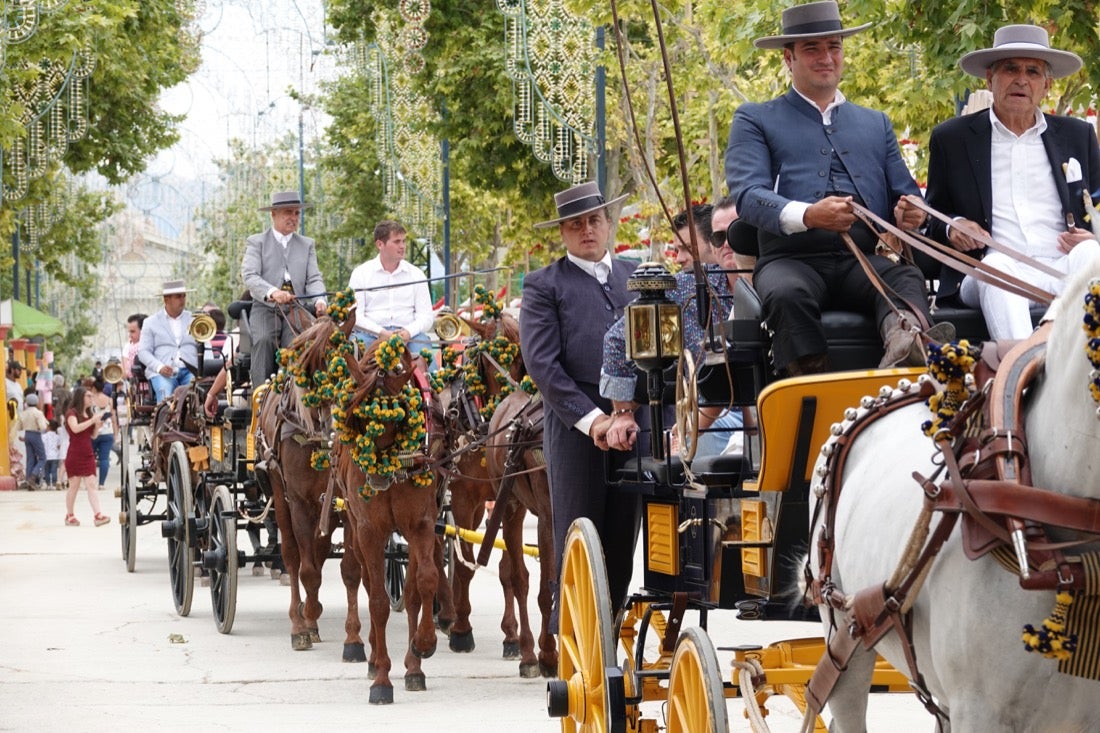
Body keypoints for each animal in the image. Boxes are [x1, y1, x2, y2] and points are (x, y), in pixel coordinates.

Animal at [251, 314, 365, 655]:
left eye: (348, 366)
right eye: (310, 369)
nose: (332, 426)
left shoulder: (345, 503)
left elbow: (350, 570)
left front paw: (353, 639)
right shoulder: (299, 500)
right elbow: (308, 571)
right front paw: (306, 621)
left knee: (318, 549)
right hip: (279, 491)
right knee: (292, 556)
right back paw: (300, 619)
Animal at [330, 336, 442, 704]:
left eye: (399, 418)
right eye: (357, 421)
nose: (377, 480)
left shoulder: (422, 524)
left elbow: (425, 583)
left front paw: (423, 646)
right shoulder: (369, 530)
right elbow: (378, 601)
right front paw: (381, 679)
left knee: (411, 592)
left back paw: (413, 666)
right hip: (354, 524)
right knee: (364, 581)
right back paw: (372, 656)